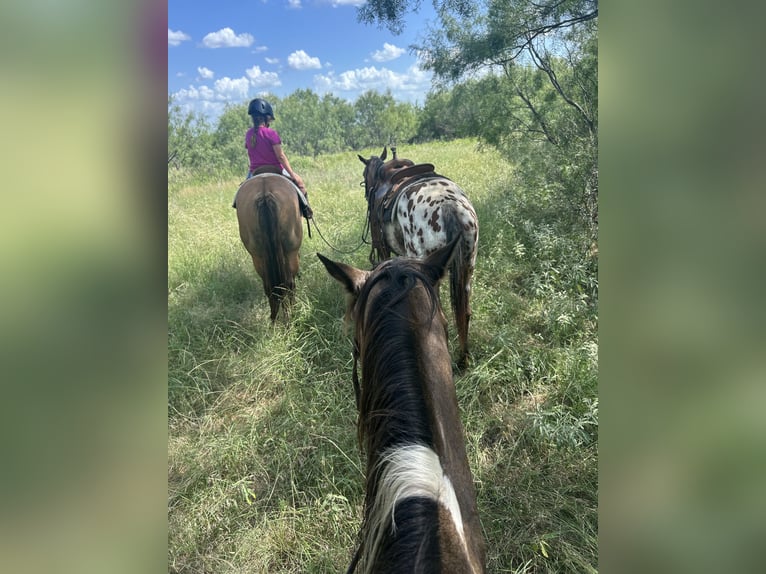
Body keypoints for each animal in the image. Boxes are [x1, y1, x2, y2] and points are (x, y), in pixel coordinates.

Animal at [234, 174, 303, 322]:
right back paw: (292, 313)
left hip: (258, 256)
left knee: (270, 287)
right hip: (290, 252)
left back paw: (274, 319)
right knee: (289, 284)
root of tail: (264, 193)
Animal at [358, 147, 479, 368]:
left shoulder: (383, 249)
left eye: (364, 175)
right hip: (468, 267)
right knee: (464, 312)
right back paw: (463, 359)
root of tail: (449, 207)